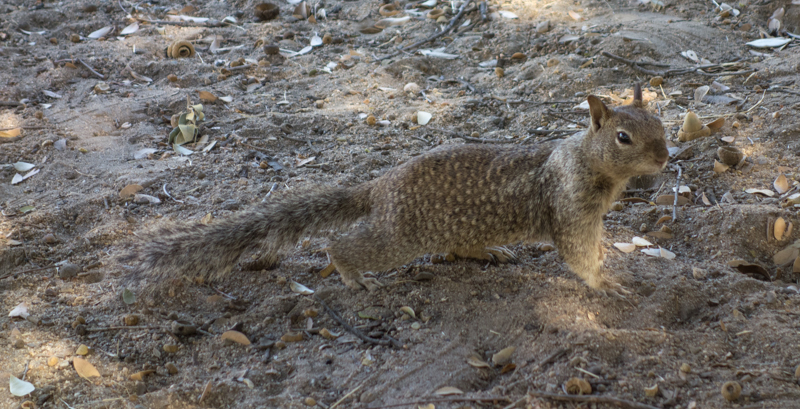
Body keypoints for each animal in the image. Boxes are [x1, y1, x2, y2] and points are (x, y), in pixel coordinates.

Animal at [120, 83, 668, 294]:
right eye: (623, 137)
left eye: (661, 122)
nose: (665, 157)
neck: (586, 158)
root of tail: (380, 186)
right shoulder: (571, 206)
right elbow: (578, 252)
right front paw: (605, 282)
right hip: (399, 237)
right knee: (343, 244)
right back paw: (353, 276)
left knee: (457, 246)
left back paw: (488, 252)